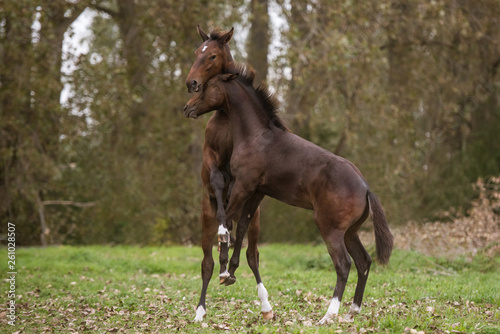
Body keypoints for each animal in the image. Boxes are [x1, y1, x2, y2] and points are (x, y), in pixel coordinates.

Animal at [184, 66, 394, 324]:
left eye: (208, 86)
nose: (188, 107)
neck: (257, 136)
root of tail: (365, 188)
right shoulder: (257, 192)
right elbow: (241, 228)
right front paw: (231, 271)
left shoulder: (244, 186)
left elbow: (227, 220)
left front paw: (224, 270)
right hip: (350, 232)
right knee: (363, 261)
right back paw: (352, 312)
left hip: (331, 230)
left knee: (344, 265)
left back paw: (328, 316)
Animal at [185, 27, 272, 322]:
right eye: (196, 52)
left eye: (212, 55)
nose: (191, 83)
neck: (225, 115)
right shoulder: (210, 155)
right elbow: (217, 180)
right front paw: (224, 231)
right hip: (205, 217)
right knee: (208, 262)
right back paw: (201, 309)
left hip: (256, 223)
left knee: (252, 255)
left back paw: (264, 303)